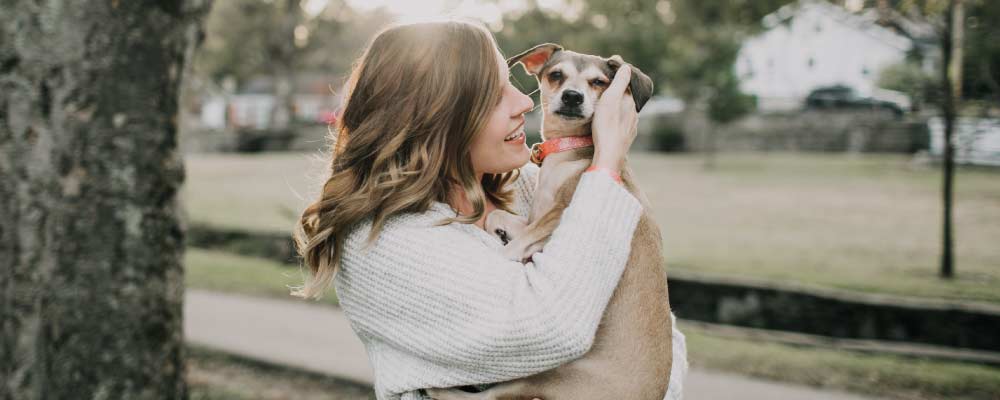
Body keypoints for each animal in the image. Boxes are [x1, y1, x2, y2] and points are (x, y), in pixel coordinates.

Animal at [426, 43, 676, 400]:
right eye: (556, 75)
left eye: (598, 82)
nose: (572, 97)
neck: (571, 150)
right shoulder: (537, 217)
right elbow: (502, 218)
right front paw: (499, 230)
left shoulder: (559, 215)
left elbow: (517, 244)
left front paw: (506, 252)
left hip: (550, 371)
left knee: (490, 395)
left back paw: (440, 389)